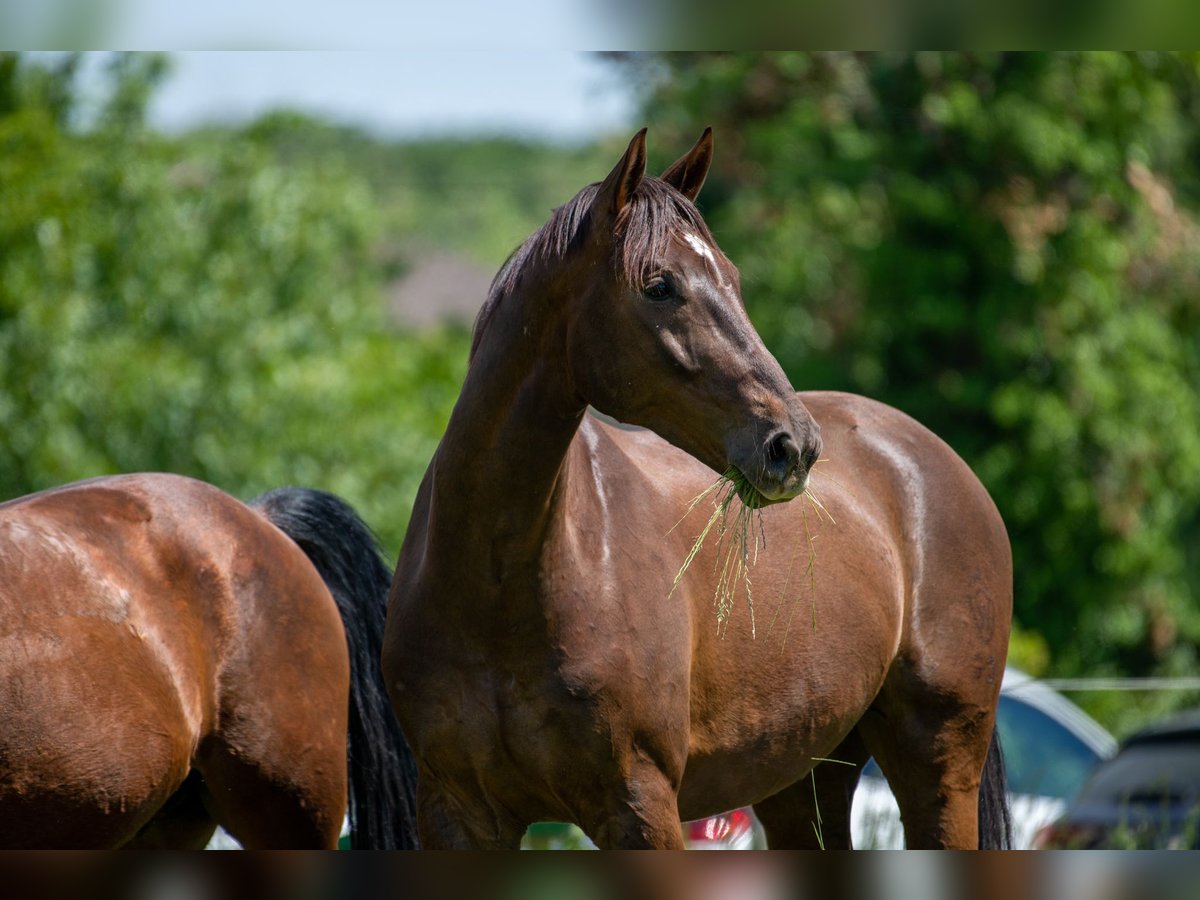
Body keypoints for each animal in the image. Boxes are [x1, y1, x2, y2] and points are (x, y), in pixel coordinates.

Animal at [381, 128, 1012, 854]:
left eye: (732, 280)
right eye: (660, 286)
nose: (793, 444)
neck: (496, 580)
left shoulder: (640, 806)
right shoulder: (457, 815)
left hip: (938, 766)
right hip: (805, 780)